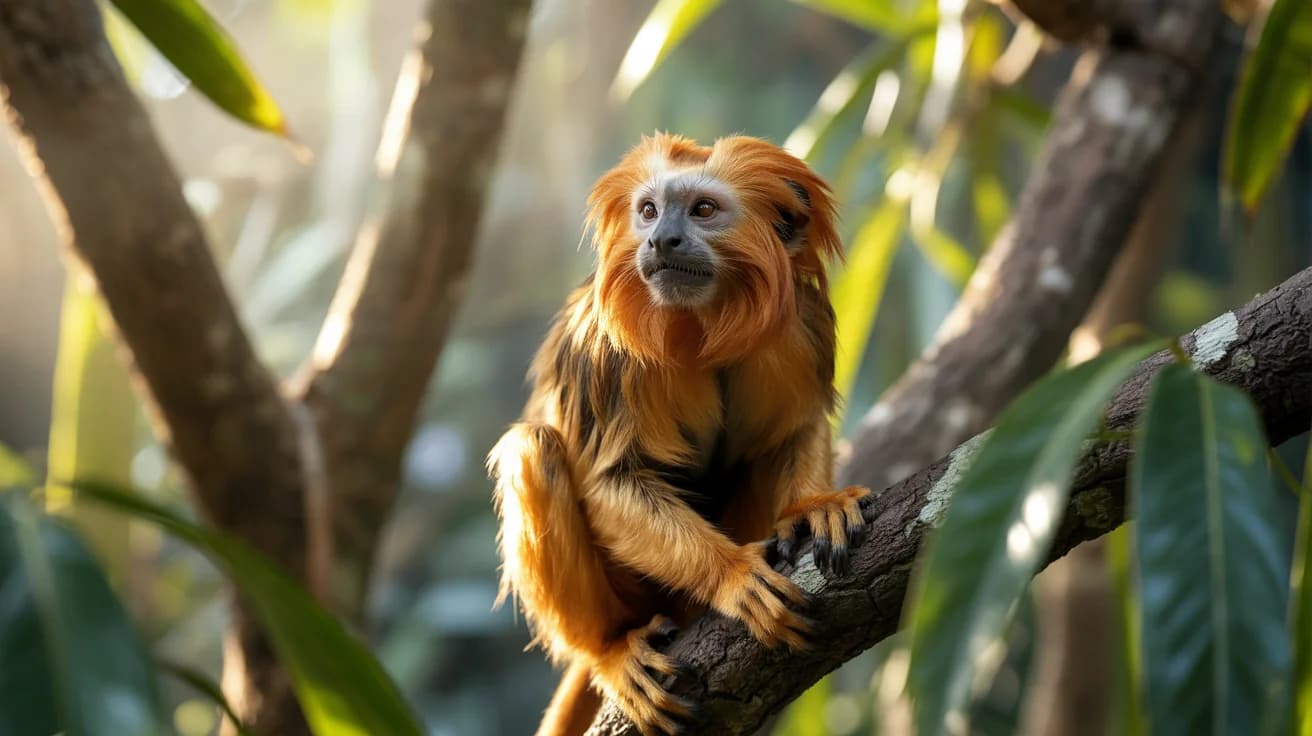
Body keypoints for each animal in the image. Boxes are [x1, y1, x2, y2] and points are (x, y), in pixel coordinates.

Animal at [488, 133, 871, 735]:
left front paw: (815, 507)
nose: (661, 239)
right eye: (648, 211)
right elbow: (609, 480)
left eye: (703, 210)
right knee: (533, 448)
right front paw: (733, 576)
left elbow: (796, 429)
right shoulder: (606, 353)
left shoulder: (801, 324)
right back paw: (608, 649)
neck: (704, 318)